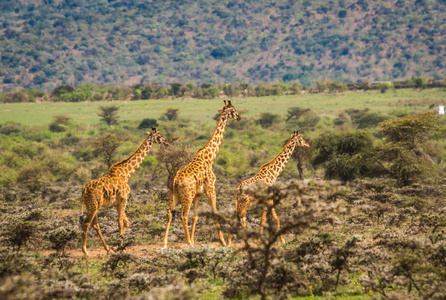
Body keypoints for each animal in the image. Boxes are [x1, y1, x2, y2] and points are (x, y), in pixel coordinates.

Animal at [80, 127, 169, 255]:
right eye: (159, 136)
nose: (166, 142)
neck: (126, 174)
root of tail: (84, 192)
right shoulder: (123, 200)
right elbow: (120, 222)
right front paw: (119, 245)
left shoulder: (117, 203)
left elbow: (125, 222)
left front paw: (117, 245)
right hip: (93, 206)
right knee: (87, 223)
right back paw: (85, 251)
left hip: (94, 206)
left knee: (95, 224)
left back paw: (107, 249)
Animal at [162, 100, 240, 248]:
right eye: (232, 110)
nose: (239, 117)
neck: (210, 156)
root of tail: (175, 181)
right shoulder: (211, 188)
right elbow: (215, 212)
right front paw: (223, 242)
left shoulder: (199, 193)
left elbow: (196, 216)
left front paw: (194, 240)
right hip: (187, 196)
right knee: (183, 215)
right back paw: (188, 243)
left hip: (173, 195)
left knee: (169, 214)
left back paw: (164, 243)